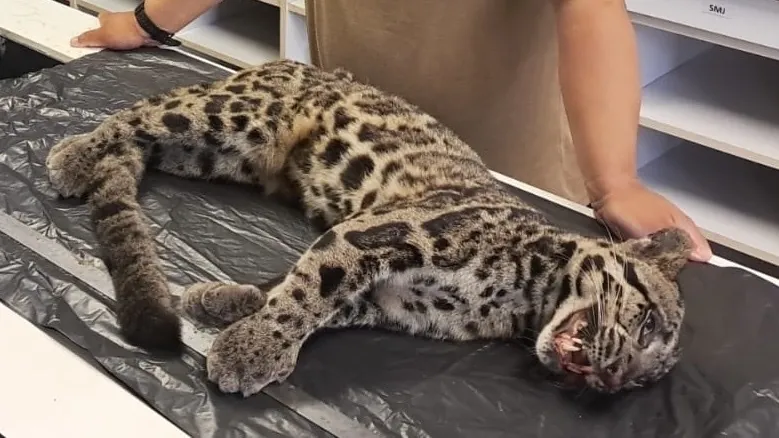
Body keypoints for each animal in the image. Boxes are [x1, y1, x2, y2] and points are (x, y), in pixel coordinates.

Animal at [45, 59, 692, 397]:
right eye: (647, 322)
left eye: (639, 385)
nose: (613, 377)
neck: (526, 301)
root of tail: (281, 60)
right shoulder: (383, 233)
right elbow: (307, 291)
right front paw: (253, 348)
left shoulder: (389, 303)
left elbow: (301, 293)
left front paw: (223, 302)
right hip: (232, 117)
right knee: (137, 115)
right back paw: (75, 153)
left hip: (220, 156)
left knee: (146, 143)